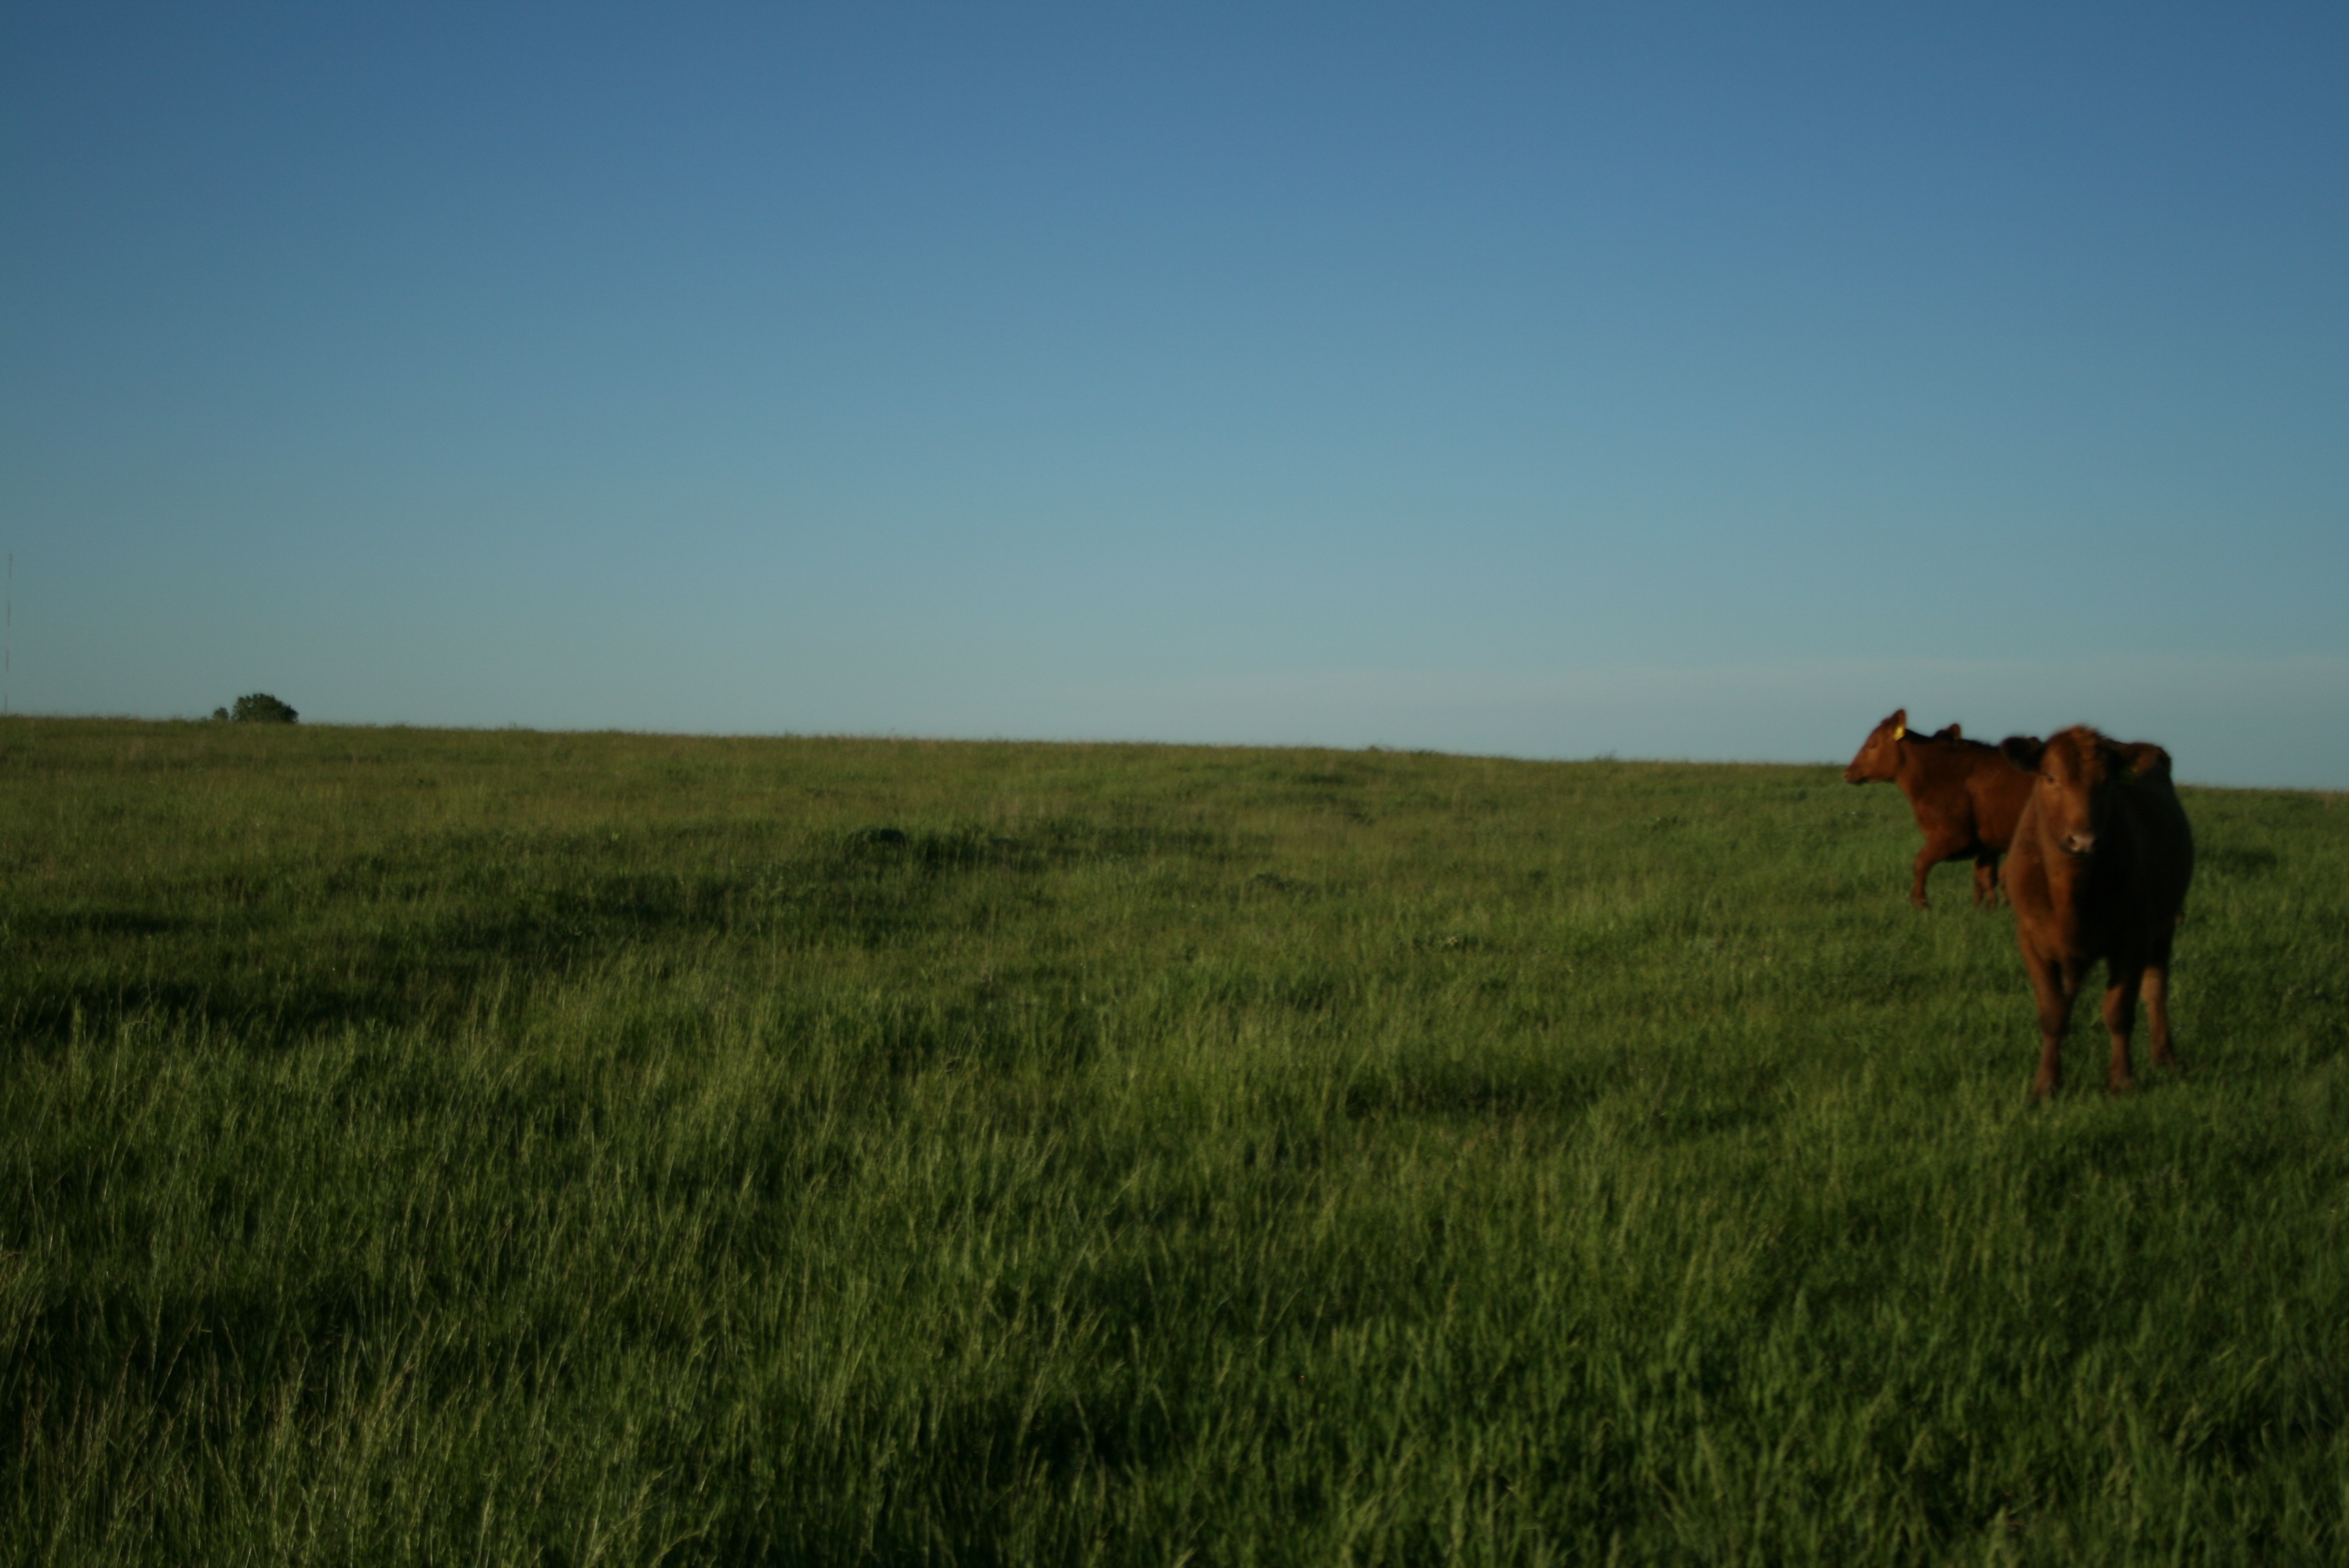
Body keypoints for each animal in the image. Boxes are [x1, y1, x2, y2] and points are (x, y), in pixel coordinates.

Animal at [1843, 709, 2037, 908]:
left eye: (1873, 744)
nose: (1848, 773)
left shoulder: (1955, 836)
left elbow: (1921, 862)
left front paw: (1921, 902)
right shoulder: (1986, 846)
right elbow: (1986, 877)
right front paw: (1986, 909)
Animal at [1998, 727, 2195, 1097]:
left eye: (2107, 783)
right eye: (2050, 777)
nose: (2084, 840)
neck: (2069, 896)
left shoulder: (2134, 938)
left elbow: (2118, 1010)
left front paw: (2121, 1080)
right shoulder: (2031, 939)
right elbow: (2053, 1012)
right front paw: (2046, 1084)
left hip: (2164, 928)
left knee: (2155, 990)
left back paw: (2166, 1058)